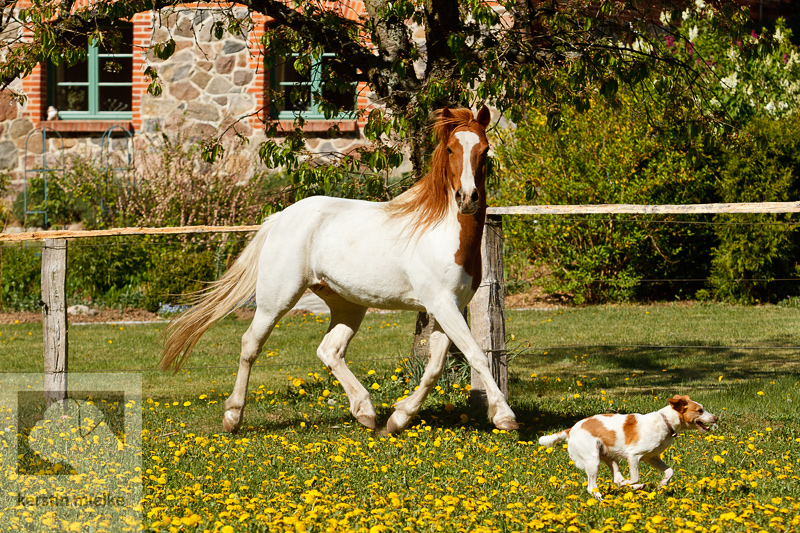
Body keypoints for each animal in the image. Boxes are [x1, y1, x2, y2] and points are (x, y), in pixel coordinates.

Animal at [160, 106, 520, 434]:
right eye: (450, 149)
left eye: (484, 150)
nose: (468, 198)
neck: (441, 232)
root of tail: (281, 217)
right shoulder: (442, 305)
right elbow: (476, 355)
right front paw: (504, 416)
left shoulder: (450, 307)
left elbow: (434, 368)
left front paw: (399, 418)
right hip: (277, 299)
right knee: (251, 344)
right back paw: (233, 417)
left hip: (348, 304)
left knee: (329, 350)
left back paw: (366, 412)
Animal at [536, 394, 720, 498]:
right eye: (700, 410)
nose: (716, 417)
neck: (665, 422)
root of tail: (571, 429)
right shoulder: (634, 455)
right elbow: (634, 477)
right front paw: (634, 484)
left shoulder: (651, 457)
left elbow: (669, 471)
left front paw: (662, 484)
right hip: (593, 460)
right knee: (592, 487)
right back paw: (602, 498)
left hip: (610, 457)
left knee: (616, 478)